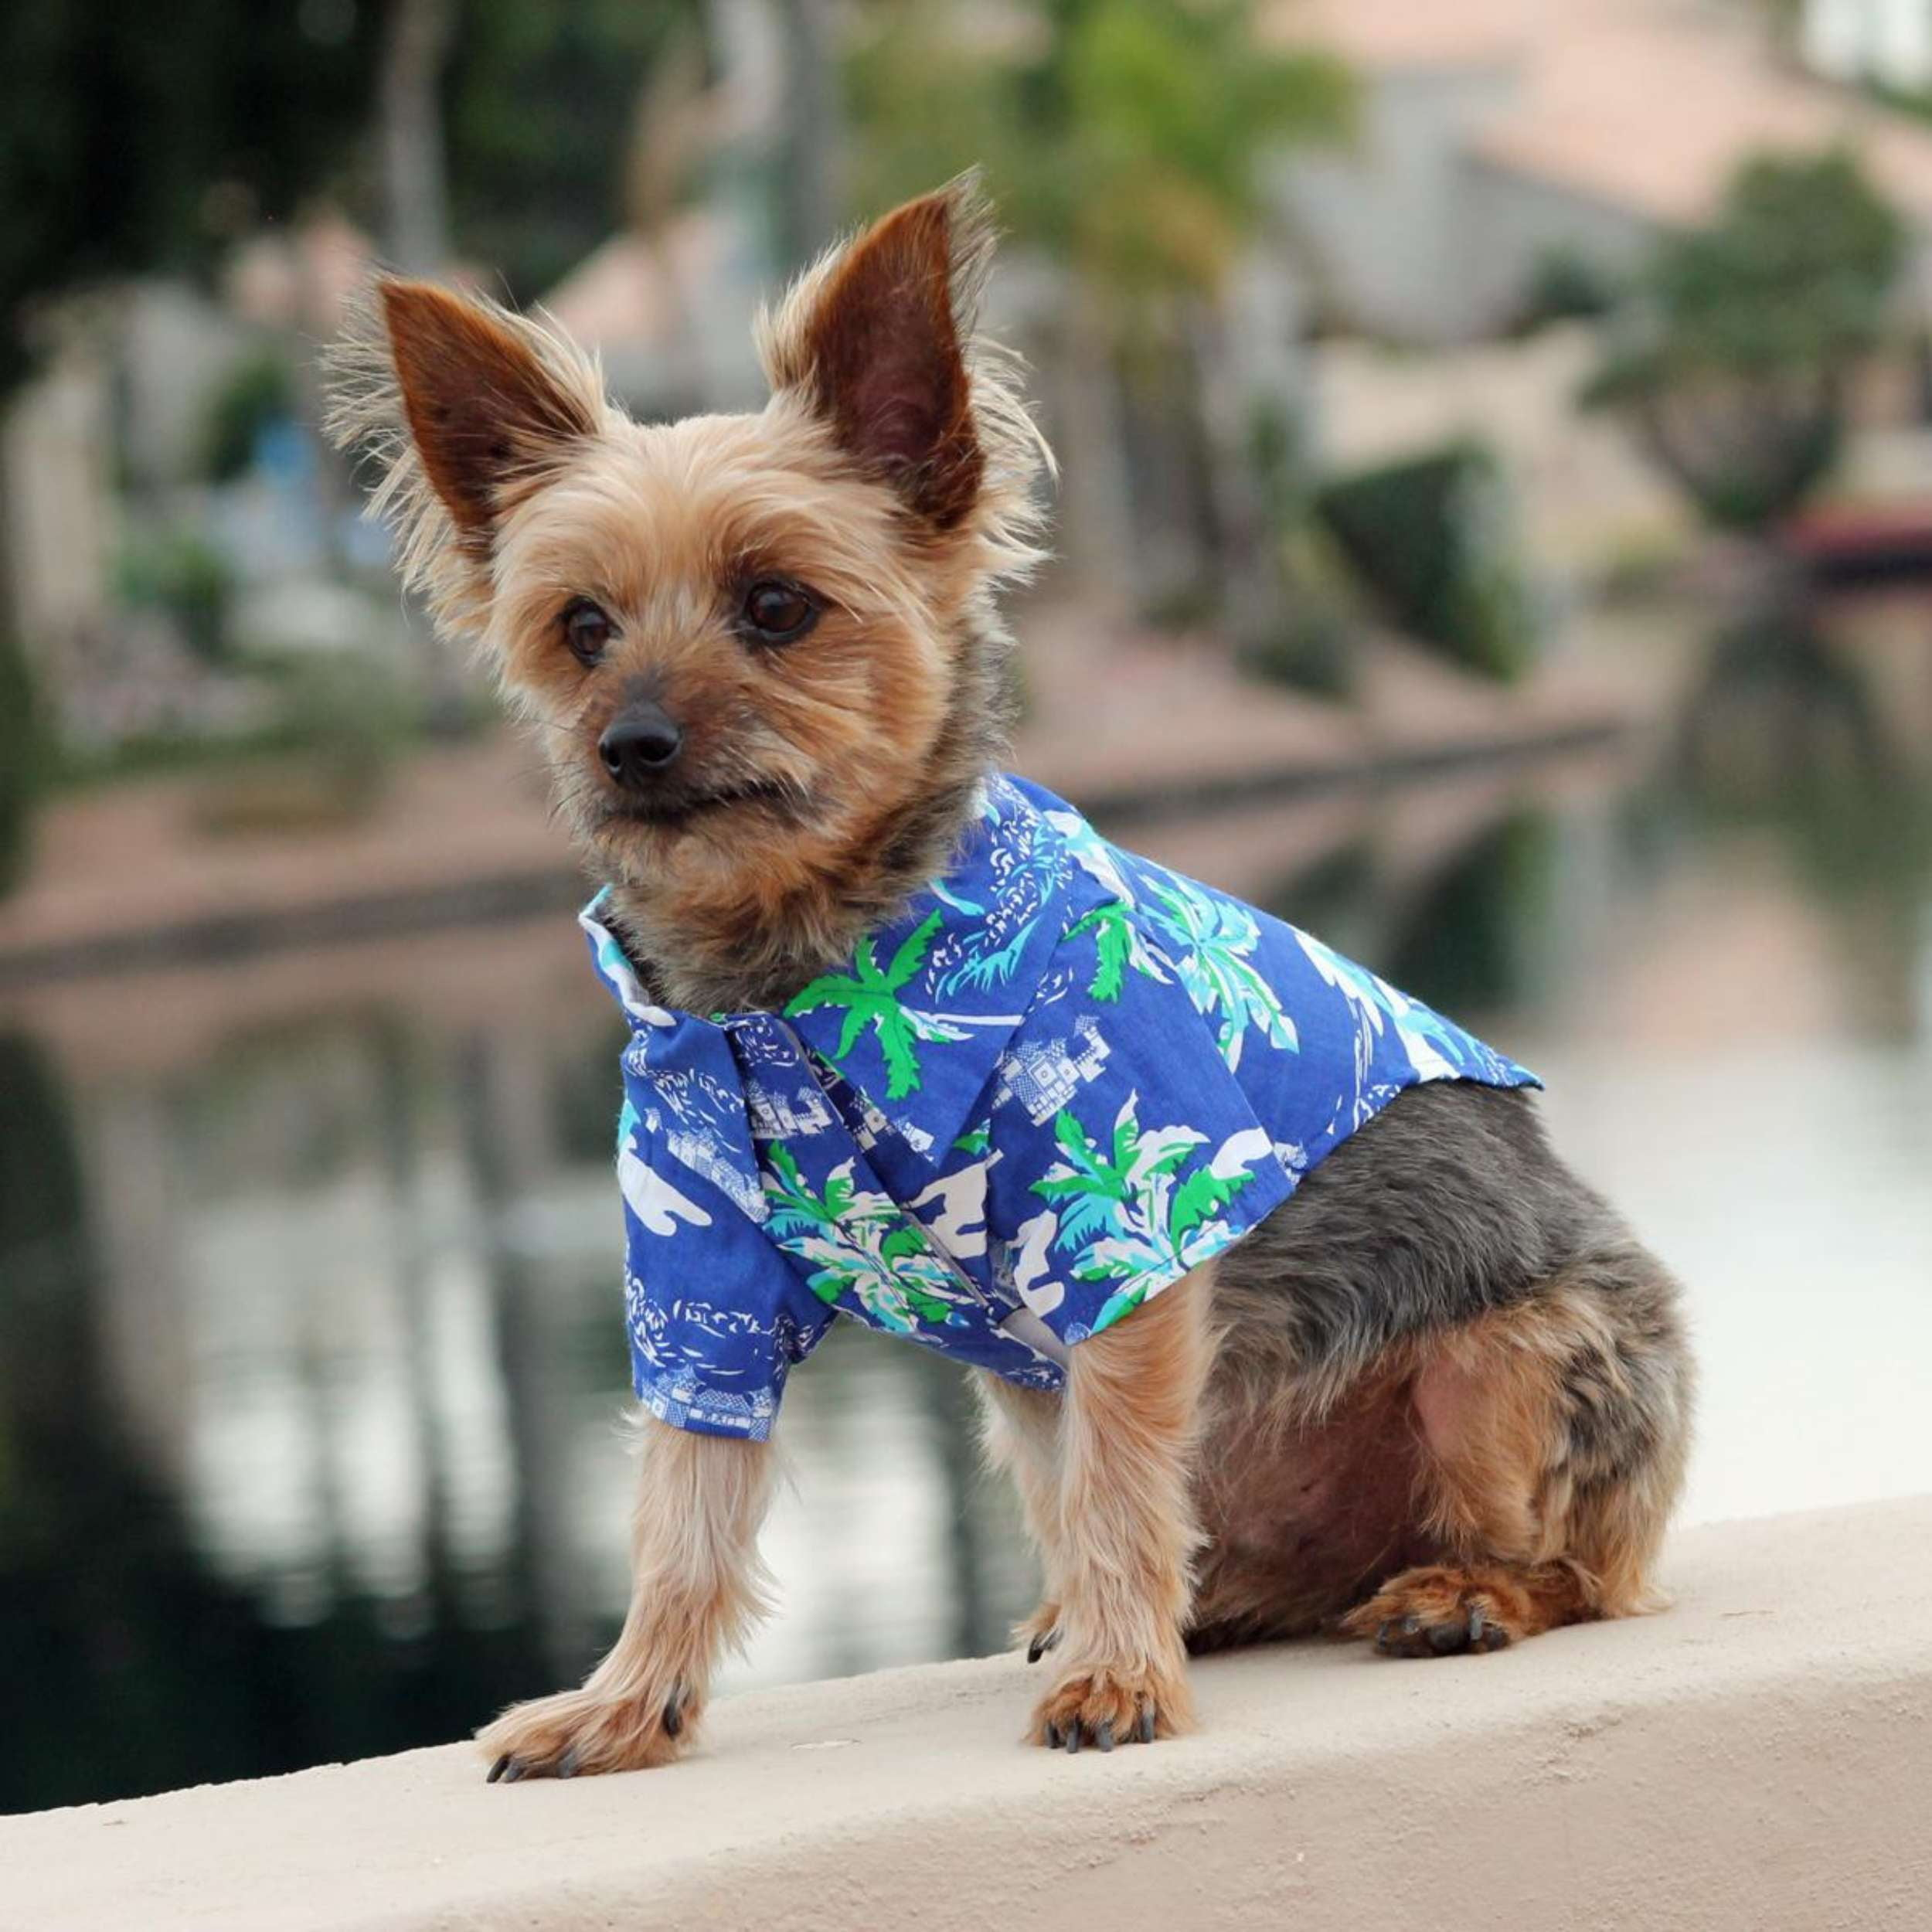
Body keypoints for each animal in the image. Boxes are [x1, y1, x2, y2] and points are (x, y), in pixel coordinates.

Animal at [328, 174, 1692, 1770]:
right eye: (581, 628)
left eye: (777, 606)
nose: (634, 743)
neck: (802, 977)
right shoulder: (694, 1276)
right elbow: (684, 1500)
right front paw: (627, 1702)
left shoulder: (1127, 1244)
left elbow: (1118, 1482)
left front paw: (1116, 1681)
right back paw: (1212, 1604)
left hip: (1509, 1362)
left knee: (1577, 1568)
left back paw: (1462, 1591)